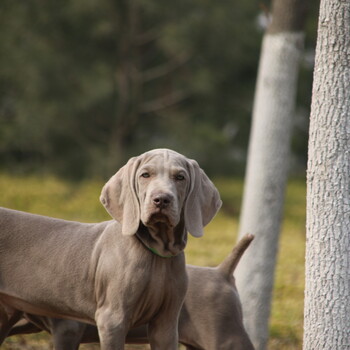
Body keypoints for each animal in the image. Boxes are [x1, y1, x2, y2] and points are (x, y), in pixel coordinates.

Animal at [0, 148, 221, 350]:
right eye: (145, 175)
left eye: (180, 177)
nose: (161, 199)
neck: (157, 253)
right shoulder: (112, 320)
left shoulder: (166, 324)